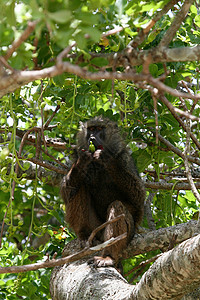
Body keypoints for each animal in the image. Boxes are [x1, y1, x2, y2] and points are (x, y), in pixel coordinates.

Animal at [60, 116, 145, 266]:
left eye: (99, 128)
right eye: (91, 129)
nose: (92, 138)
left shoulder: (124, 158)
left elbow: (138, 197)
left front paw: (107, 159)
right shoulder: (76, 157)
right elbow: (66, 192)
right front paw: (81, 163)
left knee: (117, 207)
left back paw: (109, 256)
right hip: (96, 228)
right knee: (80, 187)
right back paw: (84, 235)